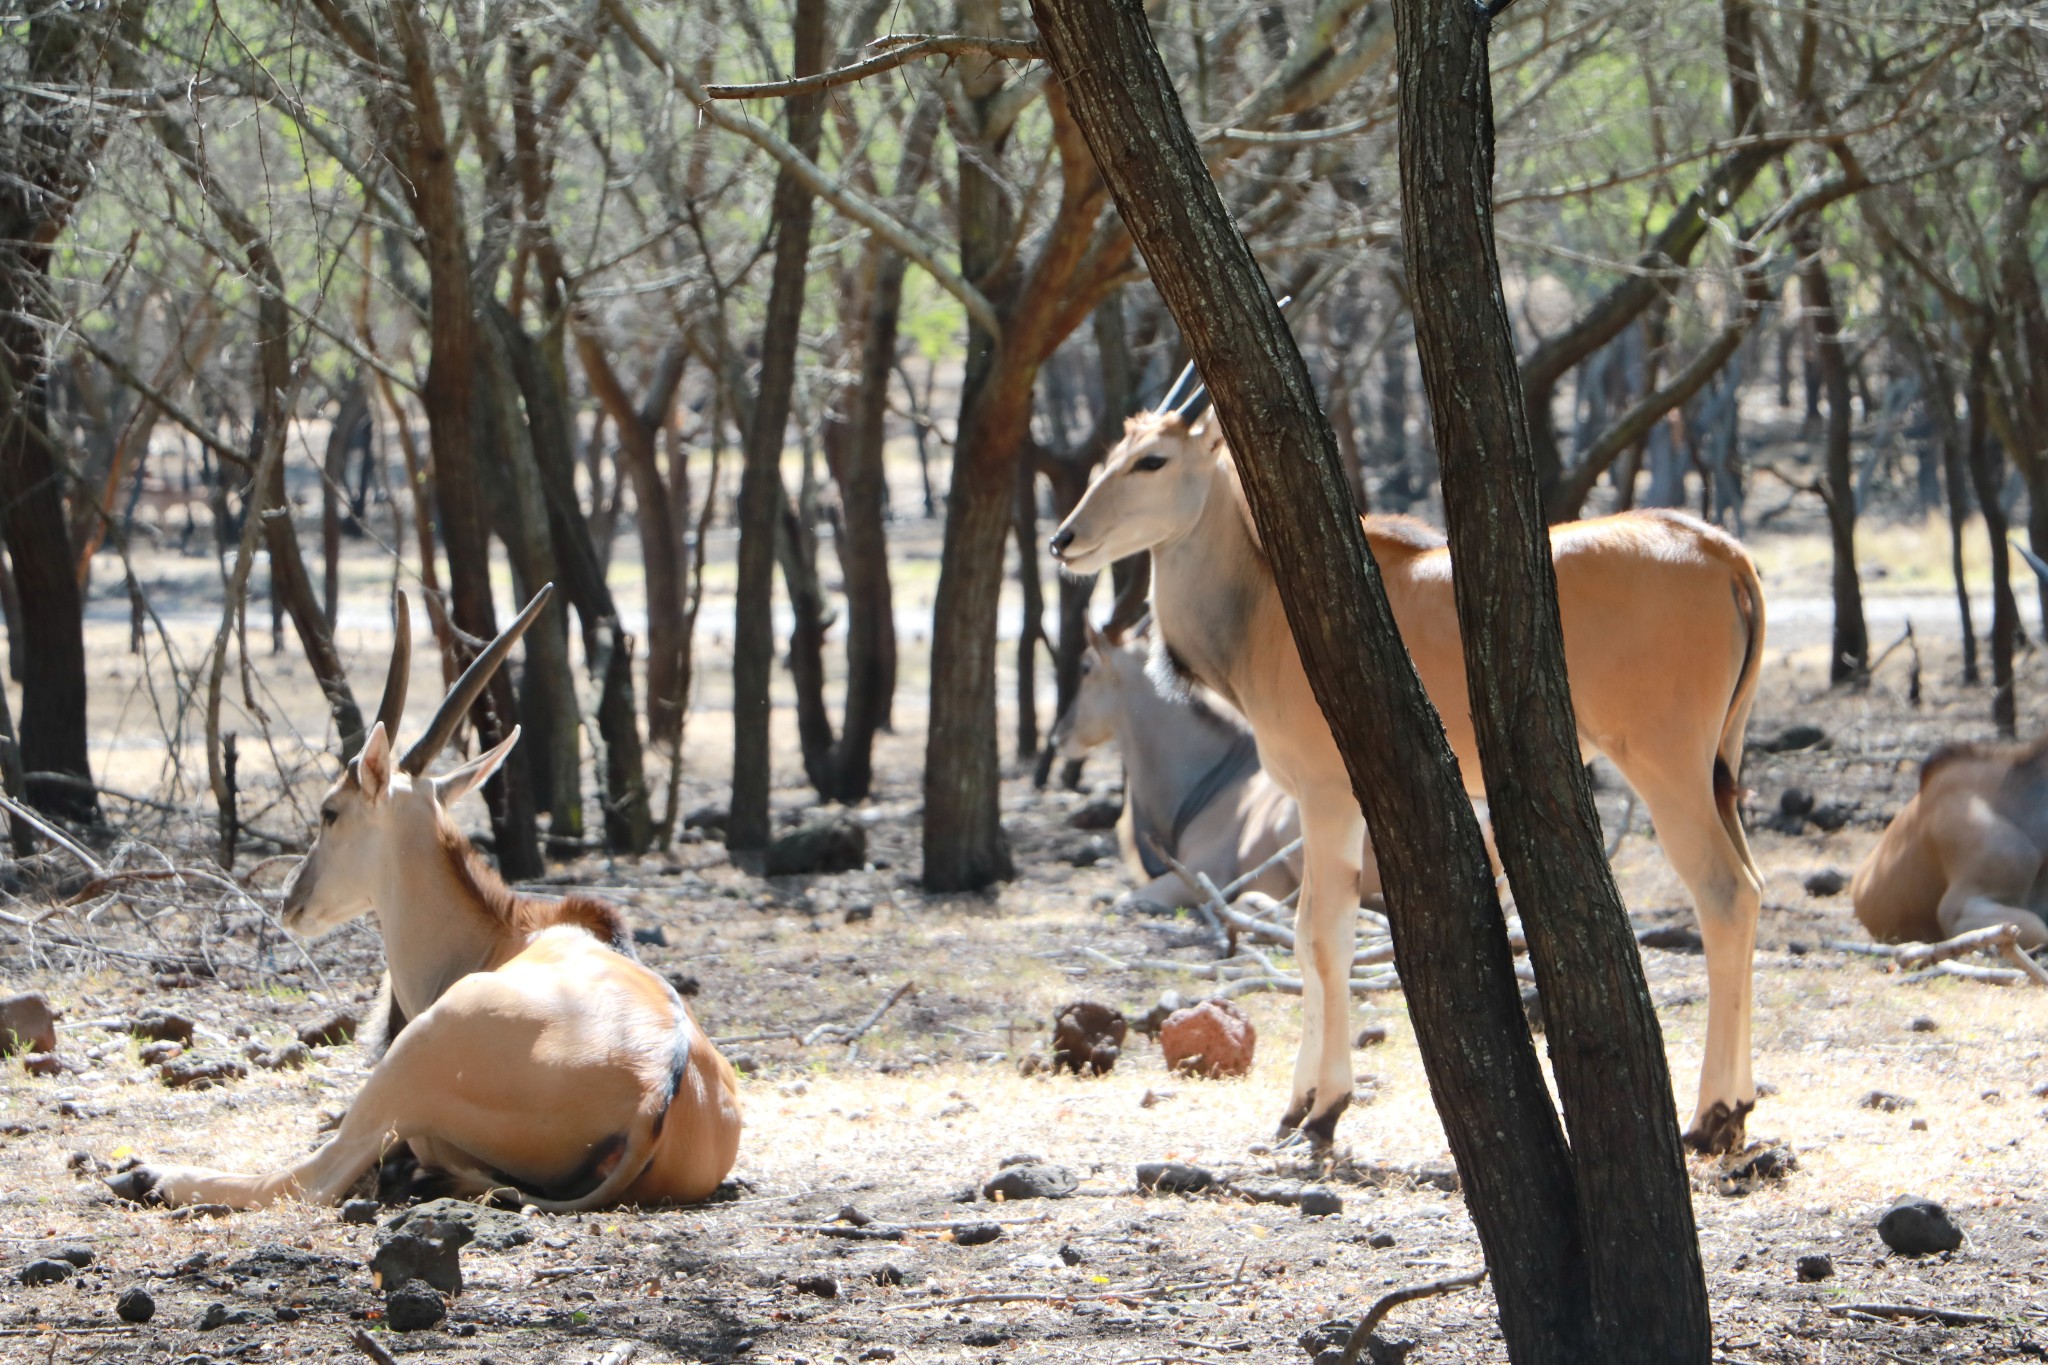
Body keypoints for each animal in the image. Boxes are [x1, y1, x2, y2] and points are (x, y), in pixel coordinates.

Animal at [105, 593, 745, 1211]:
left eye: (329, 811)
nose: (291, 900)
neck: (508, 935)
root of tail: (652, 1093)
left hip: (411, 1060)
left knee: (312, 1178)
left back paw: (150, 1175)